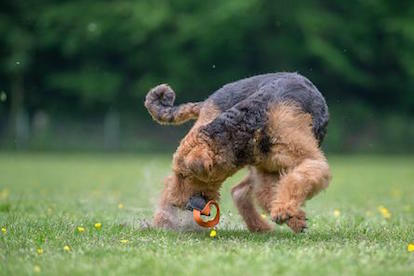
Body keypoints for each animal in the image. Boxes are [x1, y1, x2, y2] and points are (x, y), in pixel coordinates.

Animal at [144, 72, 332, 232]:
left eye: (185, 175)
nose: (178, 203)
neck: (253, 123)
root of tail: (207, 101)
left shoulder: (305, 161)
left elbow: (293, 180)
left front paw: (286, 212)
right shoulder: (268, 171)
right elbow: (276, 190)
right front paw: (290, 215)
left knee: (239, 192)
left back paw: (260, 226)